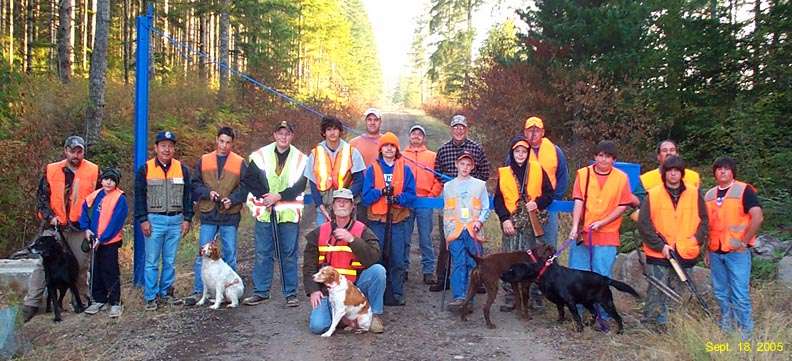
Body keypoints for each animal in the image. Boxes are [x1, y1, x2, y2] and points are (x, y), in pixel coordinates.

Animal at [504, 260, 640, 334]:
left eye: (511, 270)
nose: (501, 275)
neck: (543, 273)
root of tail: (606, 279)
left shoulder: (569, 301)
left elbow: (576, 316)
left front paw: (579, 329)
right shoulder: (559, 301)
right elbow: (561, 312)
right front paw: (560, 322)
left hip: (606, 303)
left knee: (618, 317)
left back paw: (620, 331)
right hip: (586, 301)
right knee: (594, 312)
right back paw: (589, 324)